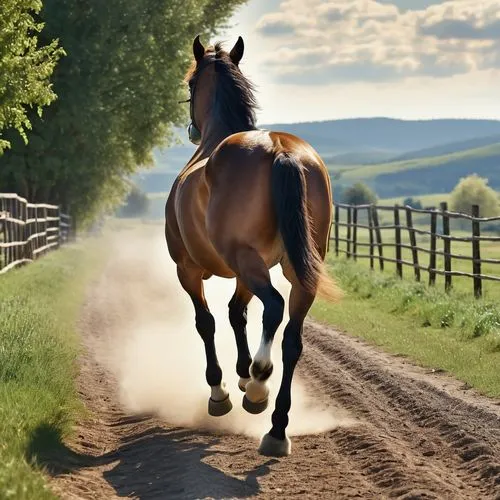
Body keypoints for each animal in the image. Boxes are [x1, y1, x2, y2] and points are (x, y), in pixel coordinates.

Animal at [166, 35, 342, 458]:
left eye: (190, 83)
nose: (191, 130)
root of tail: (281, 150)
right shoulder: (244, 272)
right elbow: (237, 314)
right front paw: (243, 375)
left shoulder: (188, 270)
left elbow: (208, 322)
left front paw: (224, 390)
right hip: (293, 271)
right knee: (292, 337)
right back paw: (276, 428)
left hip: (247, 263)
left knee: (274, 307)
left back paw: (261, 381)